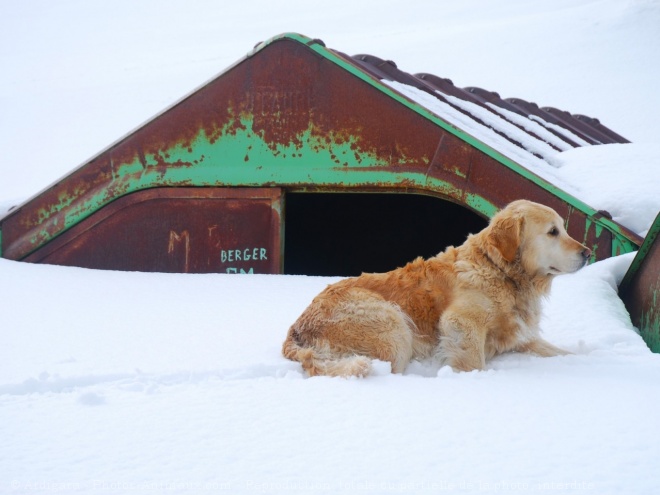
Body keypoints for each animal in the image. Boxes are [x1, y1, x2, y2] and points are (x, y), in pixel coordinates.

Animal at [282, 200, 592, 378]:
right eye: (552, 232)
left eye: (563, 228)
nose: (588, 253)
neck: (500, 272)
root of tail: (297, 325)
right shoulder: (461, 323)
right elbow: (474, 363)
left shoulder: (521, 335)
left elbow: (562, 352)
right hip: (392, 327)